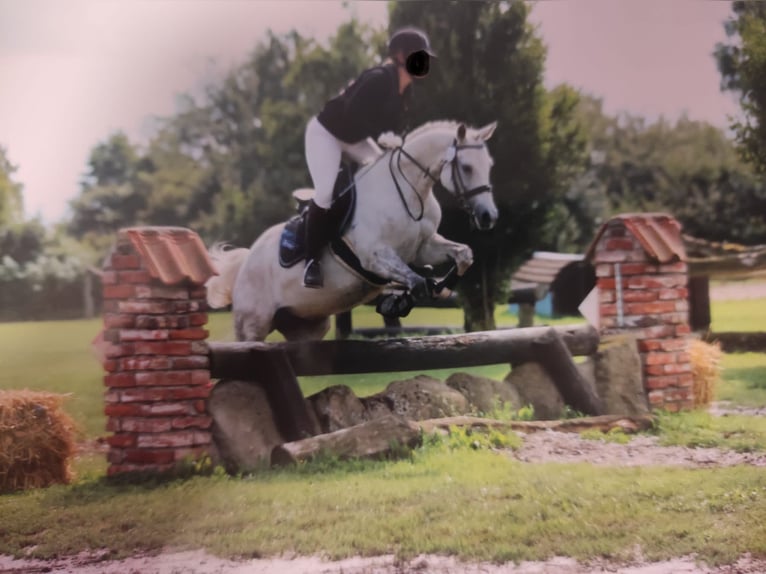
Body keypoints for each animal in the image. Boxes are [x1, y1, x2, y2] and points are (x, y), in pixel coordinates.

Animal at [207, 118, 500, 340]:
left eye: (489, 166)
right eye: (467, 167)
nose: (488, 216)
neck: (408, 190)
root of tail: (243, 265)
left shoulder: (423, 248)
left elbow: (463, 255)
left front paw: (438, 288)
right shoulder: (375, 256)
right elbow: (416, 282)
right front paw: (398, 301)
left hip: (307, 325)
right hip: (253, 324)